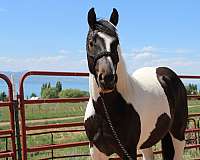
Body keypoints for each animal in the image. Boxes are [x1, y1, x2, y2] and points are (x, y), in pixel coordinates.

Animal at [83, 7, 188, 160]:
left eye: (116, 42)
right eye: (91, 42)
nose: (107, 78)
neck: (105, 112)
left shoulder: (128, 151)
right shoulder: (97, 152)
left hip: (178, 135)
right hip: (147, 142)